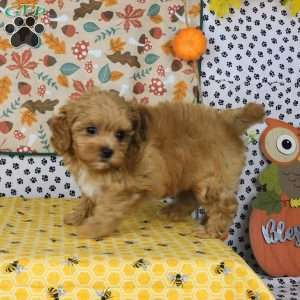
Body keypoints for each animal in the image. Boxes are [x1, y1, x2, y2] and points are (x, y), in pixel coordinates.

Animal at [49, 88, 264, 239]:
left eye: (120, 135)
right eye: (91, 130)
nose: (107, 152)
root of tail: (226, 121)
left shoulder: (127, 187)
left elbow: (108, 209)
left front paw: (94, 228)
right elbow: (88, 199)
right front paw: (76, 216)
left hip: (211, 179)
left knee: (226, 205)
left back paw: (212, 230)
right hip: (192, 174)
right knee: (190, 198)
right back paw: (172, 212)